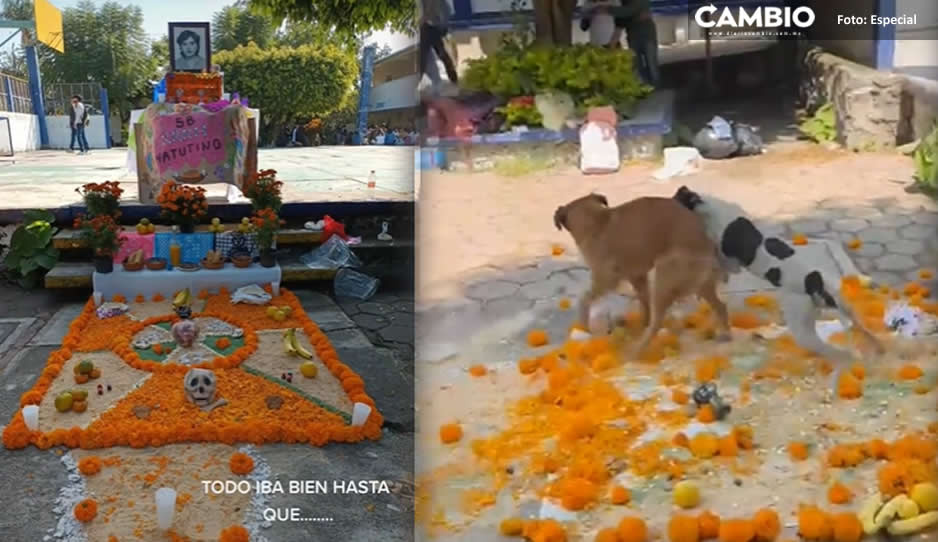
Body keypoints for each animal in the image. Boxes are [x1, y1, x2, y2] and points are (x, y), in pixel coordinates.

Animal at [556, 194, 732, 356]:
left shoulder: (606, 278)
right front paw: (642, 324)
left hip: (663, 278)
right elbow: (644, 304)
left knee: (657, 323)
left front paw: (584, 326)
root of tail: (709, 246)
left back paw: (636, 351)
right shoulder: (638, 277)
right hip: (699, 285)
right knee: (721, 306)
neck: (596, 220)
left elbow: (584, 299)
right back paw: (726, 335)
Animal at [668, 185, 880, 368]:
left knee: (832, 350)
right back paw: (879, 348)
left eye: (676, 200)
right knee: (861, 328)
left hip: (801, 325)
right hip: (844, 305)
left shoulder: (729, 261)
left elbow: (719, 262)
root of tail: (815, 284)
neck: (707, 206)